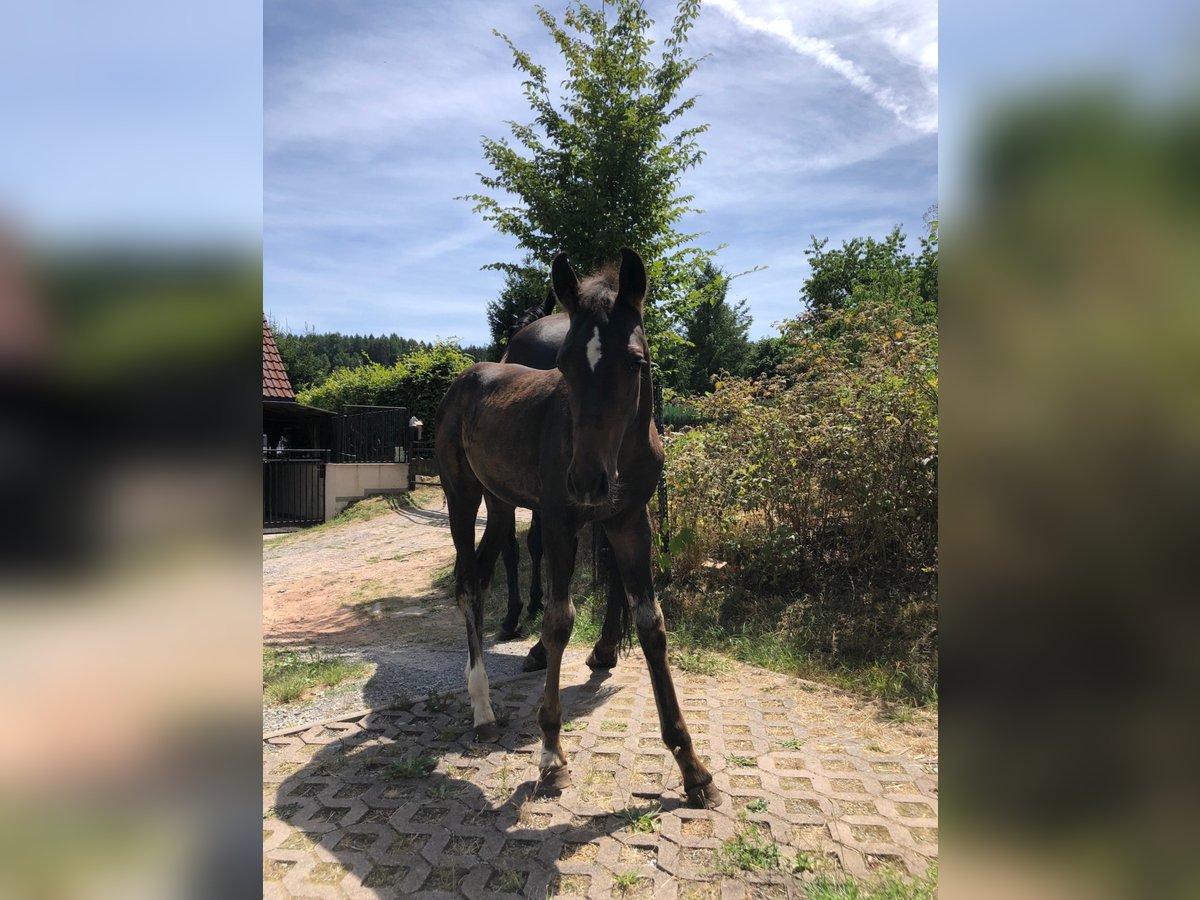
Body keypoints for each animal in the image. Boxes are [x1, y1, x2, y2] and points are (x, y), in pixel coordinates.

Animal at [436, 248, 715, 811]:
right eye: (563, 364)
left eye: (635, 360)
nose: (587, 480)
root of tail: (469, 375)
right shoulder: (560, 519)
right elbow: (559, 621)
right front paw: (550, 756)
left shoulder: (630, 521)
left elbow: (651, 623)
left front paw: (691, 766)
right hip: (461, 496)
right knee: (468, 584)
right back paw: (482, 710)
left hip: (500, 502)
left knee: (482, 568)